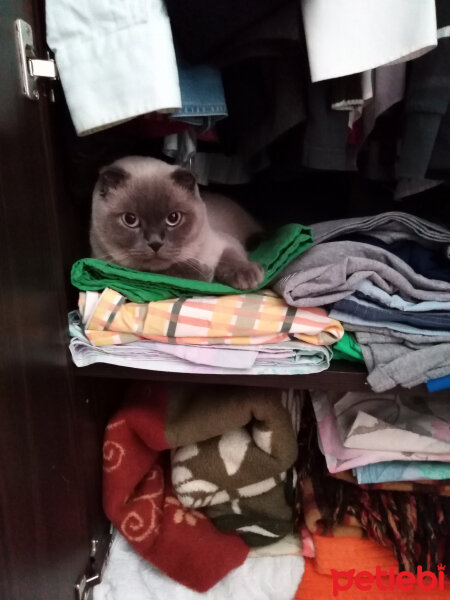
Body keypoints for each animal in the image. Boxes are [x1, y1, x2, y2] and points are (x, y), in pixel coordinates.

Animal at [90, 154, 266, 288]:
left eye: (173, 218)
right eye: (130, 219)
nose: (155, 244)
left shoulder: (225, 243)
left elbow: (231, 258)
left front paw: (248, 277)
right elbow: (172, 271)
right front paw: (205, 272)